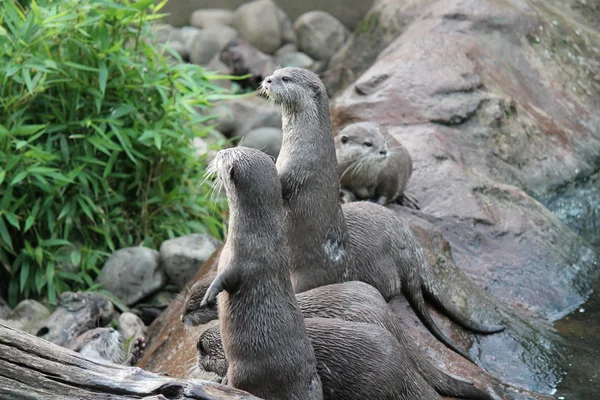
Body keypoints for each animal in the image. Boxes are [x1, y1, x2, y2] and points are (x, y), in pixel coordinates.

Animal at [199, 147, 324, 400]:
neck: (256, 235)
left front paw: (208, 297)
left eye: (224, 156)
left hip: (243, 370)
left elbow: (224, 280)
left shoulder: (242, 262)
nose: (218, 151)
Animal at [260, 68, 504, 362]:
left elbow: (280, 182)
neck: (305, 144)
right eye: (275, 72)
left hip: (309, 274)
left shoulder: (299, 169)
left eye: (286, 78)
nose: (267, 80)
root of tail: (413, 258)